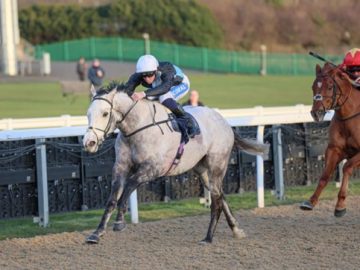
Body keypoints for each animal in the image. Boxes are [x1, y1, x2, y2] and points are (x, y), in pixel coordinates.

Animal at [81, 84, 268, 245]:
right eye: (88, 114)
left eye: (105, 113)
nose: (89, 143)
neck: (137, 128)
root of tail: (225, 123)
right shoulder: (120, 167)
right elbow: (112, 199)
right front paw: (96, 233)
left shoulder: (154, 168)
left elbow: (128, 187)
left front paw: (119, 221)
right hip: (203, 170)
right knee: (221, 196)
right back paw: (236, 229)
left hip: (217, 165)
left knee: (216, 201)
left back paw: (208, 238)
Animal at [300, 62, 360, 216]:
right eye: (313, 86)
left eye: (329, 87)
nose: (316, 112)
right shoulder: (334, 149)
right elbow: (325, 176)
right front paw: (310, 201)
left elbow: (347, 167)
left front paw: (340, 205)